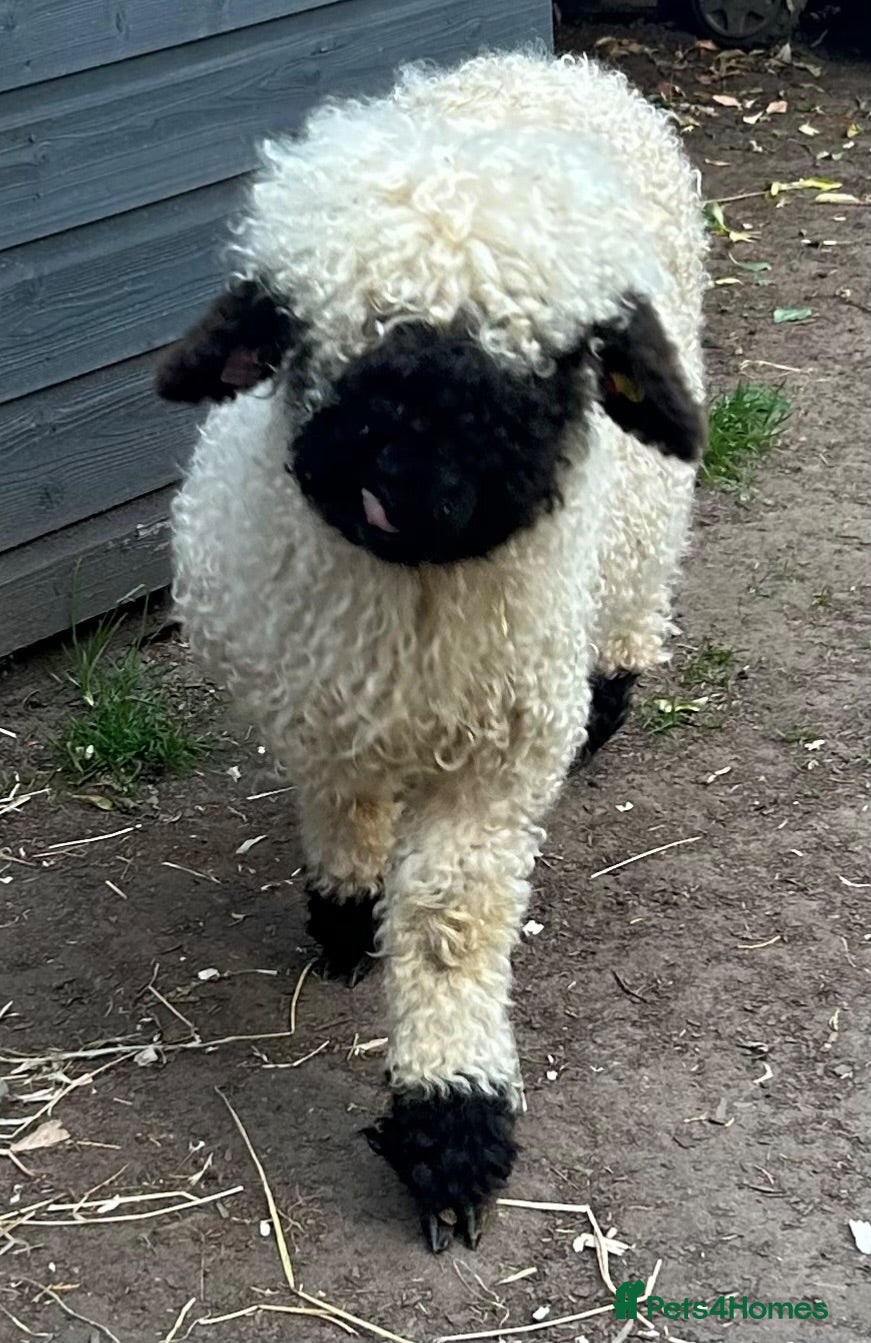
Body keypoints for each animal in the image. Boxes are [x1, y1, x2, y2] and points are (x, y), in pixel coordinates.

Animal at [155, 48, 708, 1252]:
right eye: (310, 336)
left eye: (565, 357)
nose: (414, 490)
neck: (413, 625)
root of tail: (533, 63)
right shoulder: (318, 706)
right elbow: (344, 814)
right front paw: (344, 917)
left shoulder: (501, 758)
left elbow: (452, 921)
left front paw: (450, 1124)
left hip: (643, 529)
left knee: (636, 597)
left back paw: (612, 699)